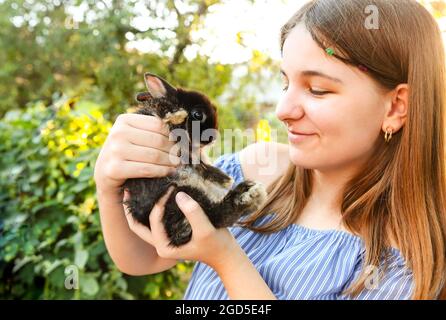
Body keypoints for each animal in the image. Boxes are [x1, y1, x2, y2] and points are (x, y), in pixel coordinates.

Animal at [122, 73, 266, 248]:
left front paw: (224, 178)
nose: (212, 138)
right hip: (179, 196)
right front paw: (177, 114)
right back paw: (248, 195)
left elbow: (201, 164)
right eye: (198, 114)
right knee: (215, 216)